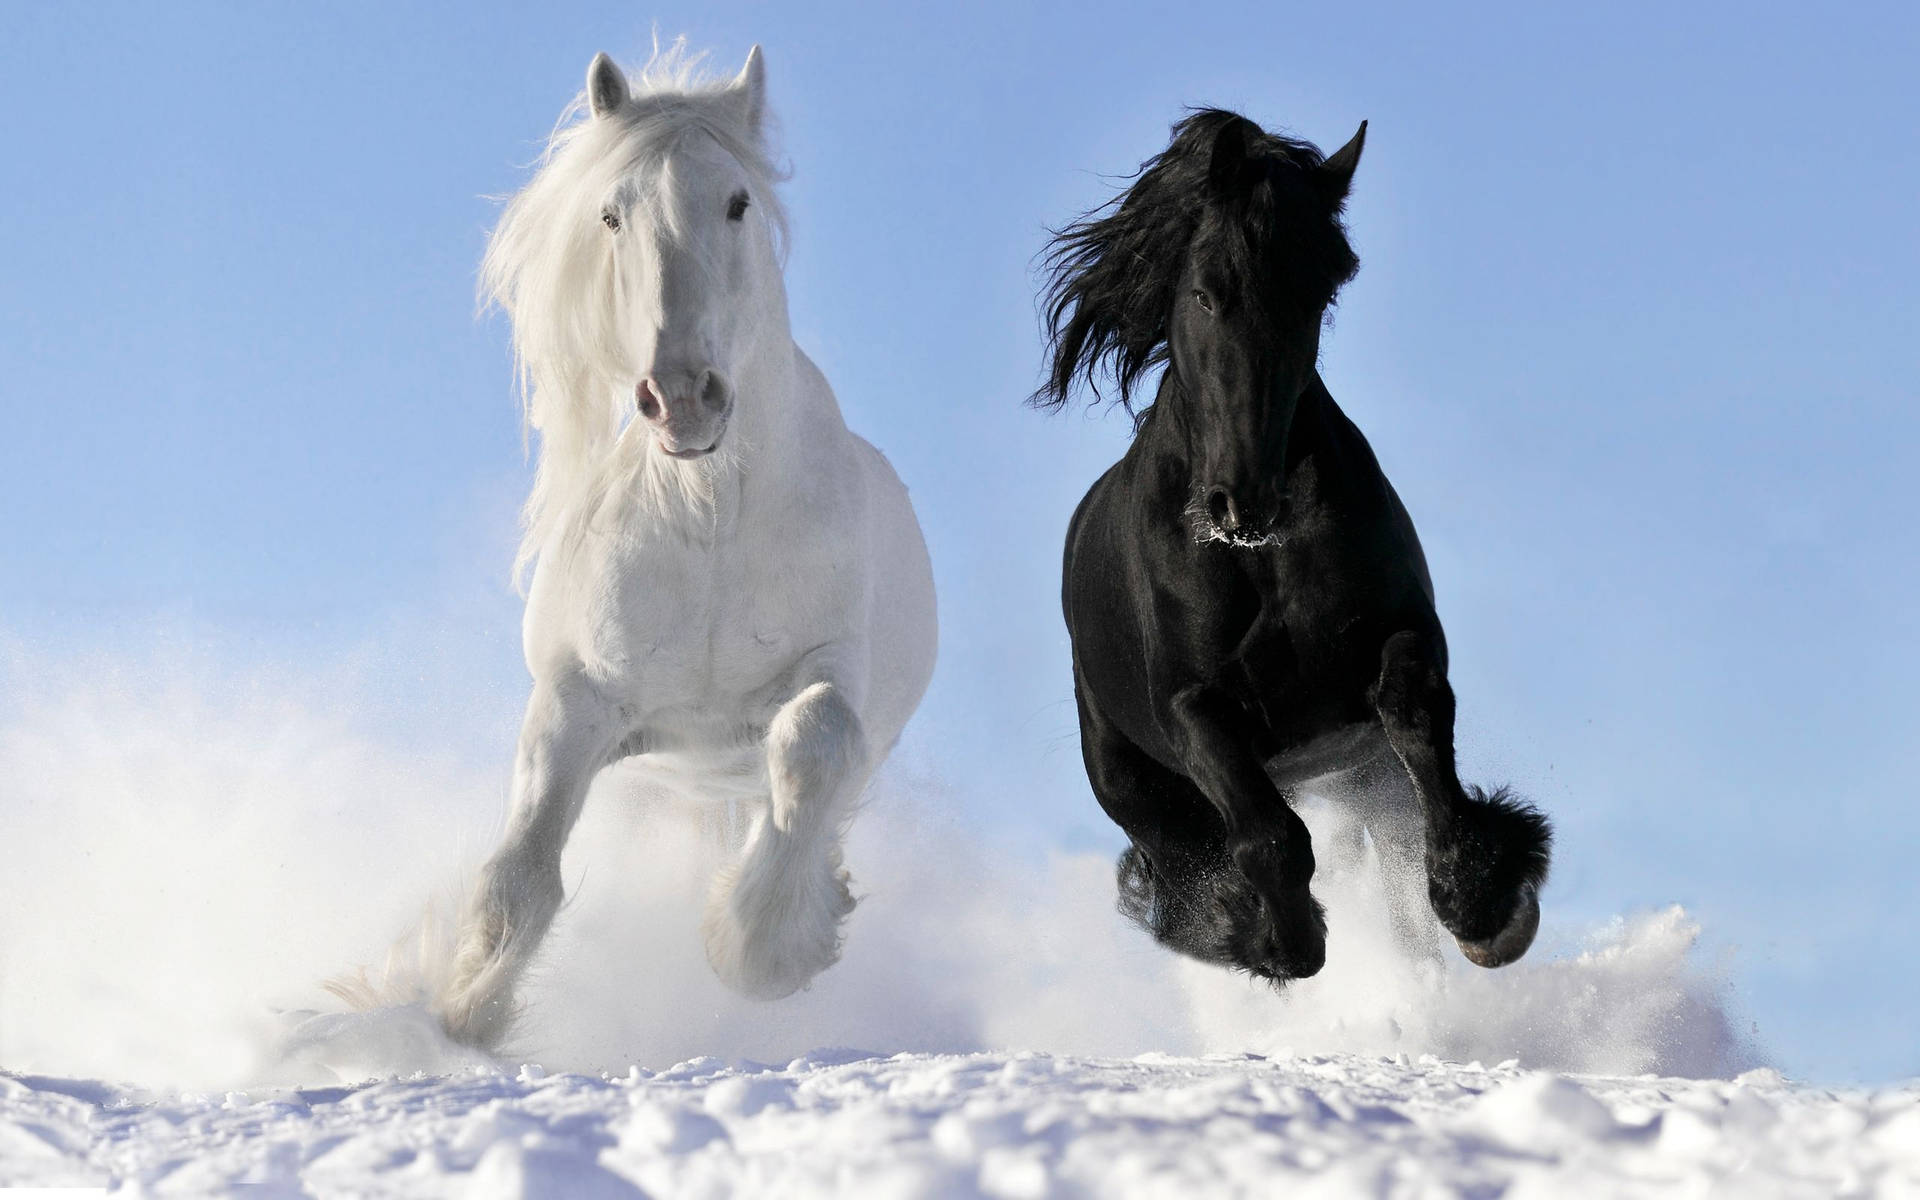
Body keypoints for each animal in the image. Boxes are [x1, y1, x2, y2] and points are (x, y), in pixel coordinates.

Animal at [441, 42, 936, 1044]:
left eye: (738, 201)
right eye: (611, 213)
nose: (681, 397)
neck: (708, 519)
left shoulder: (833, 670)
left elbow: (815, 739)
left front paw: (761, 950)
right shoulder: (577, 701)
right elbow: (519, 874)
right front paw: (461, 1011)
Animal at [1044, 107, 1551, 979]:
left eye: (1317, 295)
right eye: (1206, 291)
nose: (1243, 500)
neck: (1261, 559)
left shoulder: (1400, 637)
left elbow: (1416, 715)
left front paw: (1484, 903)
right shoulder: (1191, 707)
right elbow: (1269, 837)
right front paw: (1275, 936)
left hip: (1363, 775)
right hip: (1134, 784)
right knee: (1185, 863)